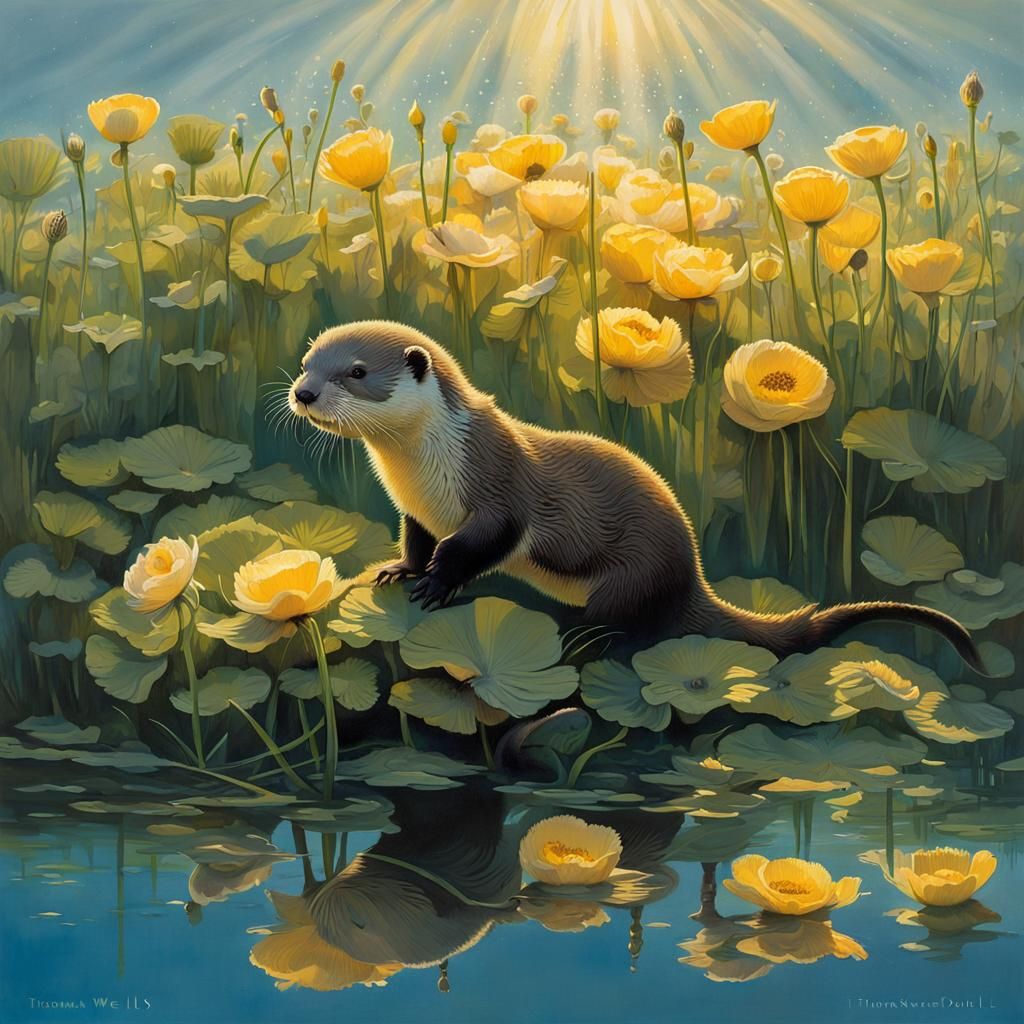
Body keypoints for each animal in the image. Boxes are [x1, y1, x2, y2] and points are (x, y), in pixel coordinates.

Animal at [289, 320, 982, 670]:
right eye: (307, 361)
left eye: (357, 372)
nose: (304, 392)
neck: (423, 472)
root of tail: (692, 572)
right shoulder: (418, 511)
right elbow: (414, 541)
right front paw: (400, 570)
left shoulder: (498, 491)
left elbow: (479, 546)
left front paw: (437, 584)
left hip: (630, 576)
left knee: (625, 628)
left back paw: (581, 640)